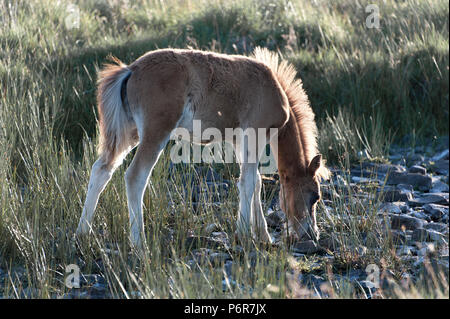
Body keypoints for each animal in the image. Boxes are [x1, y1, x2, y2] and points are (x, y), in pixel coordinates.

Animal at [77, 47, 328, 249]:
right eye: (315, 196)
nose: (312, 235)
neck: (273, 89)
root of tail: (131, 70)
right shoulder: (254, 133)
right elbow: (248, 182)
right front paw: (244, 234)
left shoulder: (239, 140)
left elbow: (254, 182)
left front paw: (263, 236)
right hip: (156, 130)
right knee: (135, 176)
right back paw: (139, 242)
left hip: (130, 132)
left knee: (101, 170)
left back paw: (82, 233)